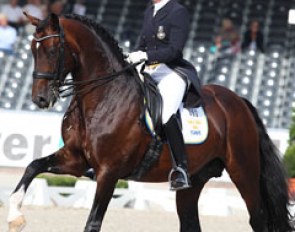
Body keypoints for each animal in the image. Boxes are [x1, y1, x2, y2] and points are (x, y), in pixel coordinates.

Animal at [7, 13, 294, 232]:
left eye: (53, 50)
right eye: (32, 50)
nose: (40, 99)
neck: (103, 97)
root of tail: (238, 100)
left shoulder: (108, 172)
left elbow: (93, 223)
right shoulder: (75, 160)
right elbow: (33, 166)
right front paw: (15, 217)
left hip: (243, 171)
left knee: (257, 219)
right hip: (195, 179)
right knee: (190, 222)